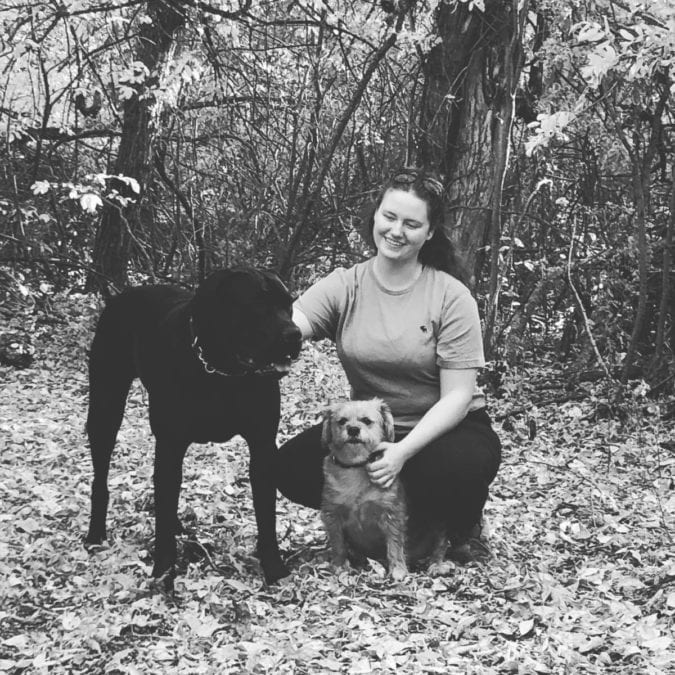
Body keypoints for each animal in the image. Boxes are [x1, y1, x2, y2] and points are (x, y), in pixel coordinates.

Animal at [86, 270, 302, 588]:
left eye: (288, 305)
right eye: (256, 305)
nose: (294, 335)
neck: (221, 373)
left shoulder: (262, 446)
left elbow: (266, 515)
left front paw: (274, 567)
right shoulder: (170, 442)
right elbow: (162, 521)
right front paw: (163, 572)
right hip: (105, 407)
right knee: (102, 475)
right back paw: (95, 533)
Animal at [320, 398, 452, 580]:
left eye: (366, 420)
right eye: (342, 421)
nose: (353, 429)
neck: (357, 467)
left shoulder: (392, 514)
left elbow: (395, 545)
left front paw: (398, 570)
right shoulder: (332, 514)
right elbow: (338, 543)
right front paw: (340, 566)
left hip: (436, 522)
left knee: (440, 545)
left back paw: (437, 565)